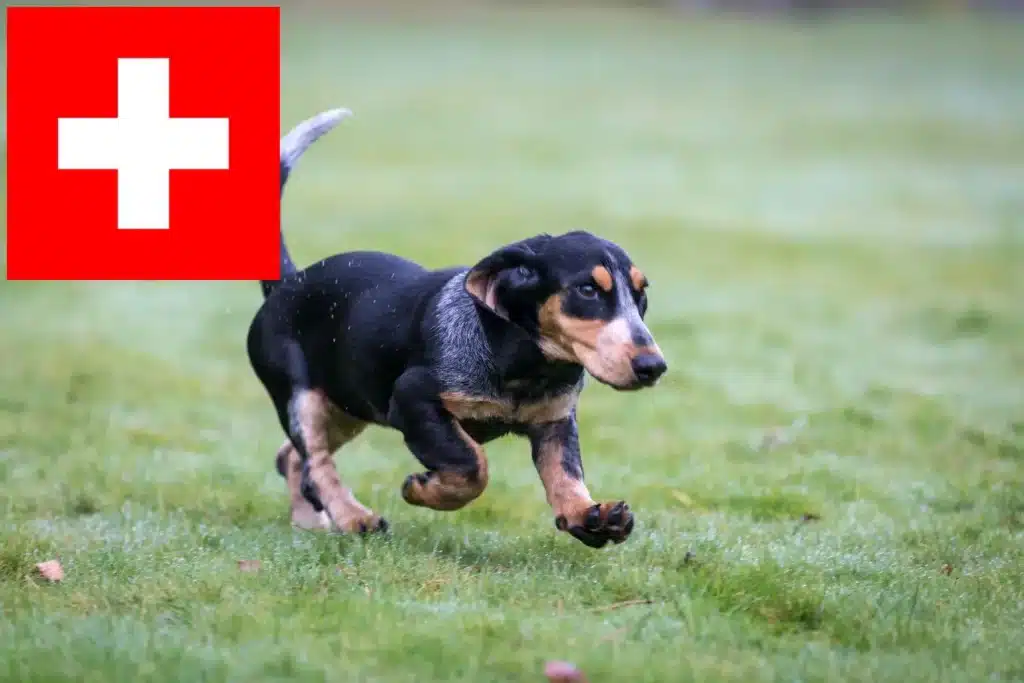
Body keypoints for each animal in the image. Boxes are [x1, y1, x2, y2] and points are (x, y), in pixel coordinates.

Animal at [244, 111, 667, 548]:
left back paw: (310, 521)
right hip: (303, 397)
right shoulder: (412, 400)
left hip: (347, 403)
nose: (653, 366)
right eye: (587, 290)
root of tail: (287, 283)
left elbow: (566, 474)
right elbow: (471, 466)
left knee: (292, 458)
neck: (523, 363)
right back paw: (353, 517)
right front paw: (424, 490)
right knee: (316, 462)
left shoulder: (555, 422)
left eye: (641, 295)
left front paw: (590, 516)